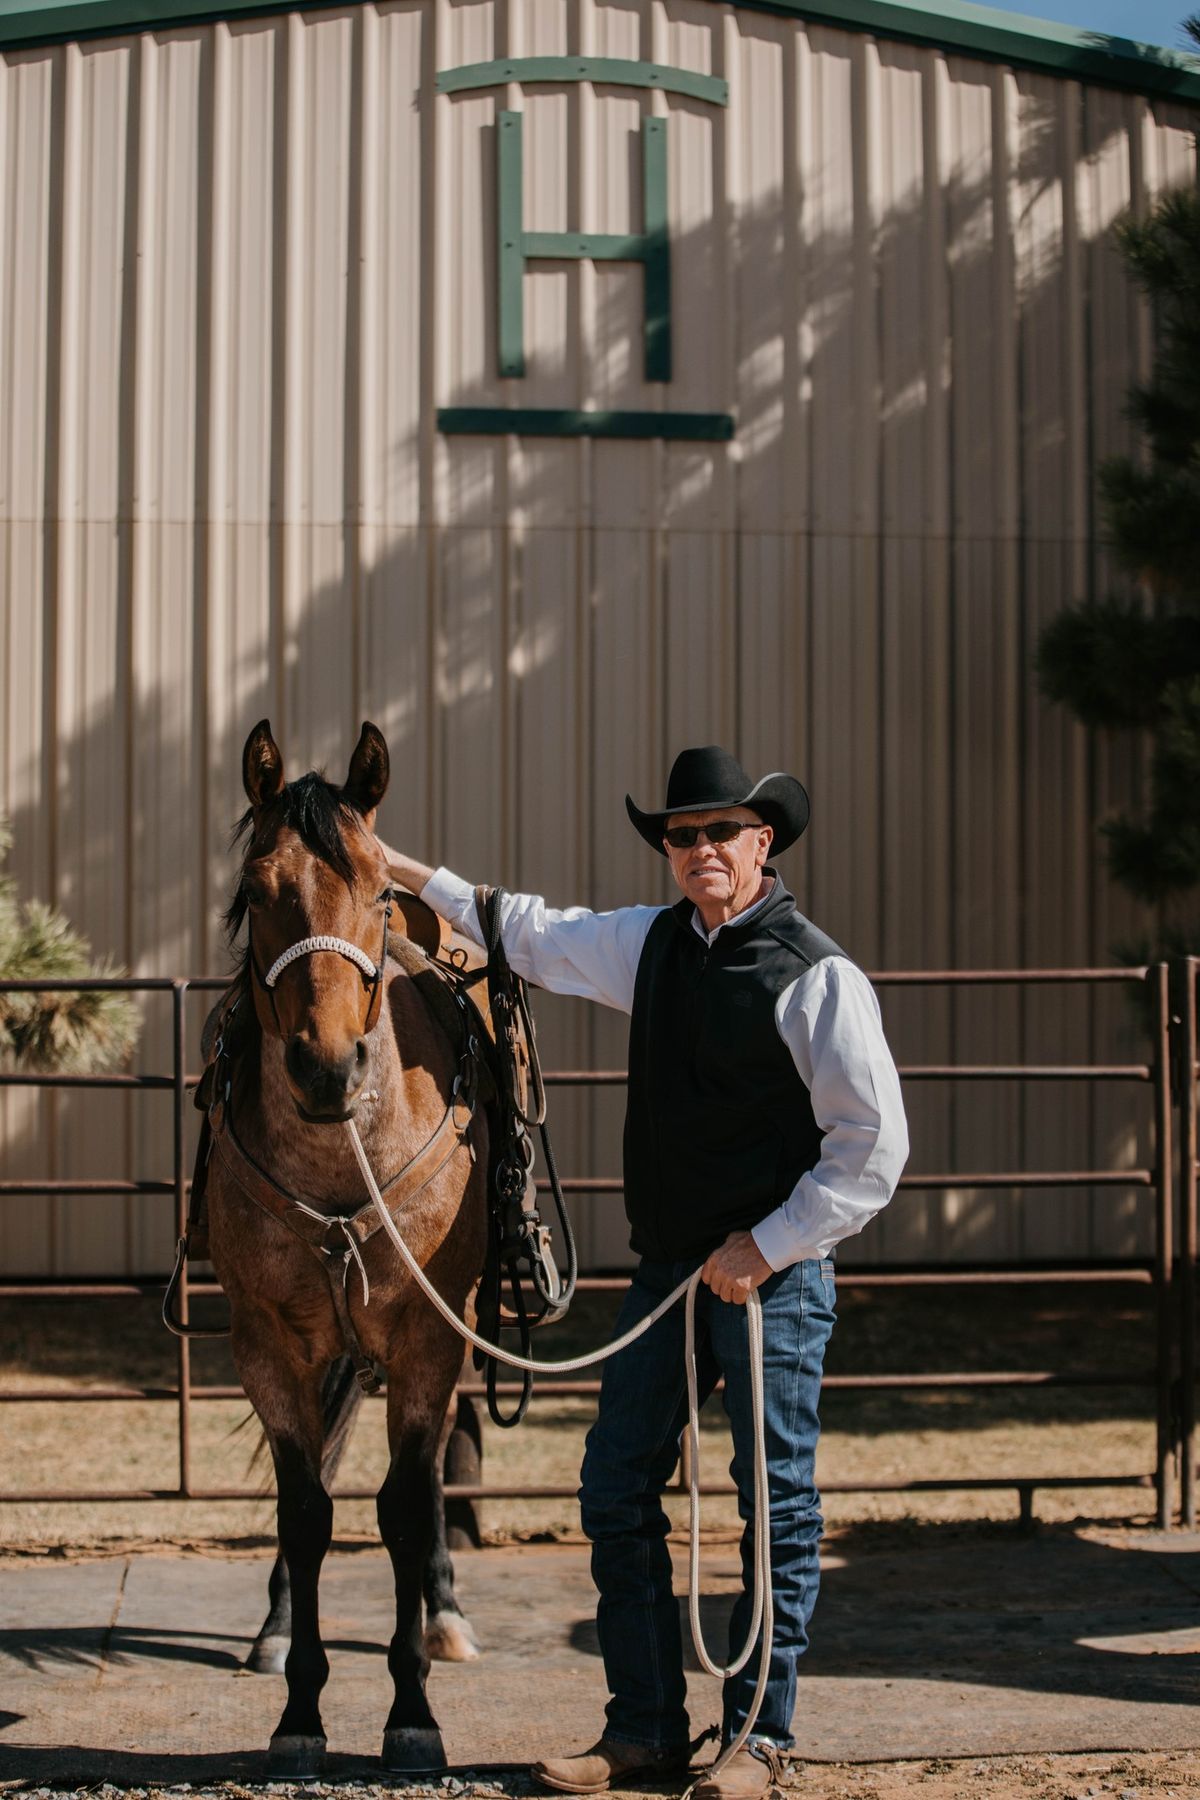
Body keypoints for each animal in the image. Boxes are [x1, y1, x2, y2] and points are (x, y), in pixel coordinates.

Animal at [206, 712, 489, 1771]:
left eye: (374, 887)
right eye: (257, 890)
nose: (329, 1066)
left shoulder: (429, 1336)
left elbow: (404, 1506)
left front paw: (411, 1712)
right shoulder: (266, 1344)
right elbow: (304, 1510)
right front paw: (298, 1710)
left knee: (442, 1455)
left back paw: (445, 1615)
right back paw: (276, 1625)